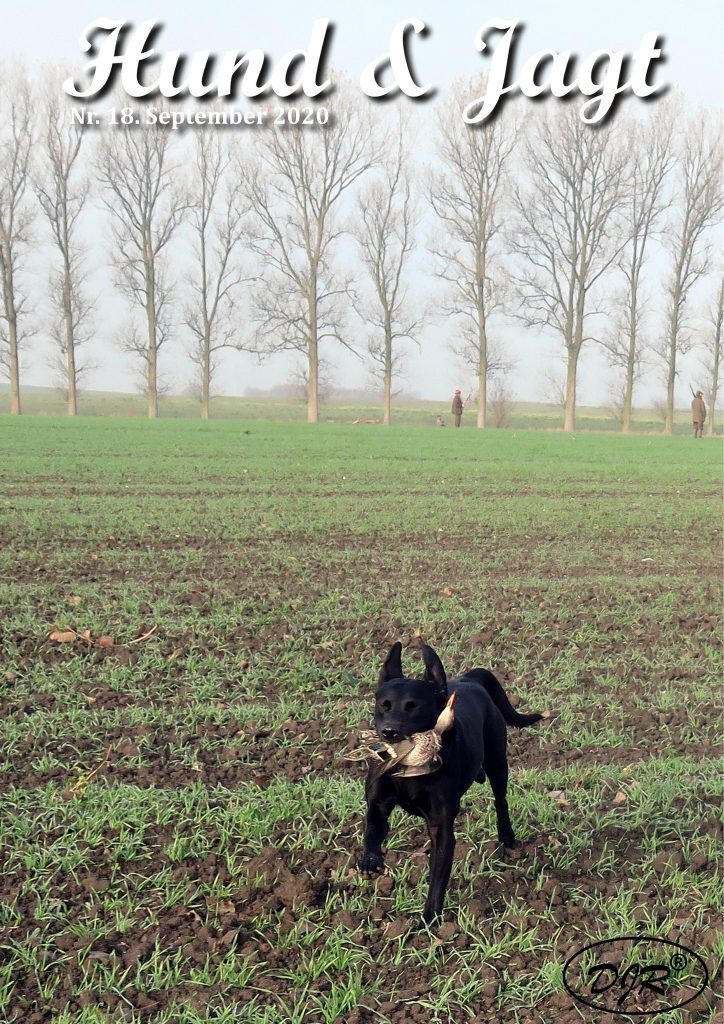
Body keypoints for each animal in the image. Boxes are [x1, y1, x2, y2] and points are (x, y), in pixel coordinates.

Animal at [360, 638, 540, 921]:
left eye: (414, 705)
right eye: (384, 705)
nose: (389, 731)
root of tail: (469, 679)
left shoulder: (441, 827)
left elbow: (437, 878)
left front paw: (428, 920)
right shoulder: (378, 803)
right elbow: (372, 829)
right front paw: (370, 860)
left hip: (498, 761)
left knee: (501, 800)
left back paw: (507, 836)